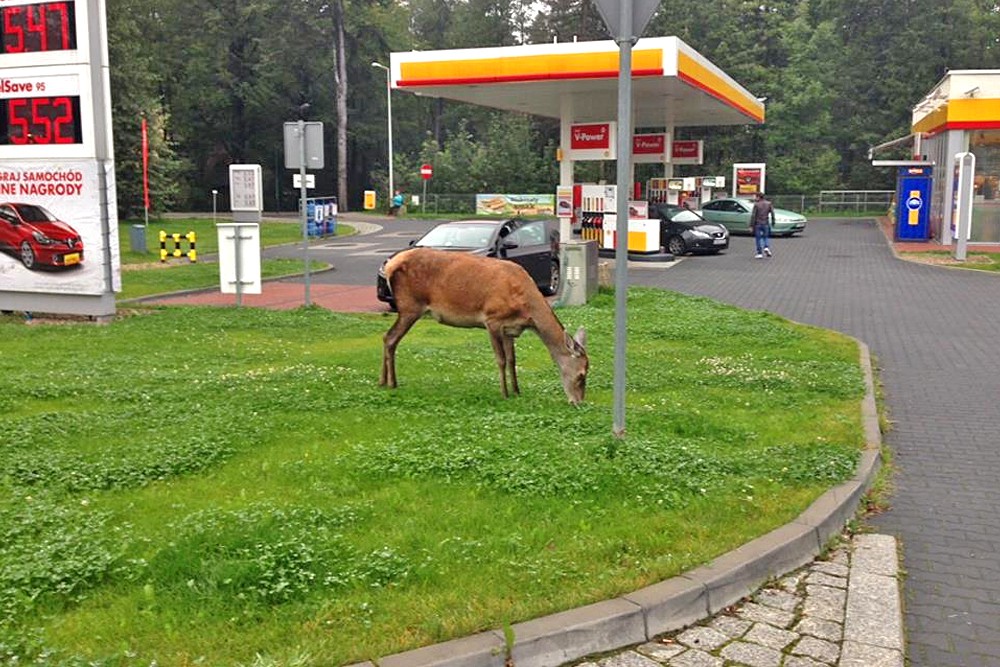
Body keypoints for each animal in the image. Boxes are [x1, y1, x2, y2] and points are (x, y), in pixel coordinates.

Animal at [379, 247, 589, 404]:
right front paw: (504, 393)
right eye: (581, 375)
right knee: (390, 337)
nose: (578, 402)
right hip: (410, 306)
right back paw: (392, 383)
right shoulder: (492, 319)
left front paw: (517, 391)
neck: (526, 309)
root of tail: (389, 266)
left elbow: (512, 360)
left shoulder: (510, 329)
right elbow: (501, 359)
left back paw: (382, 382)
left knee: (387, 337)